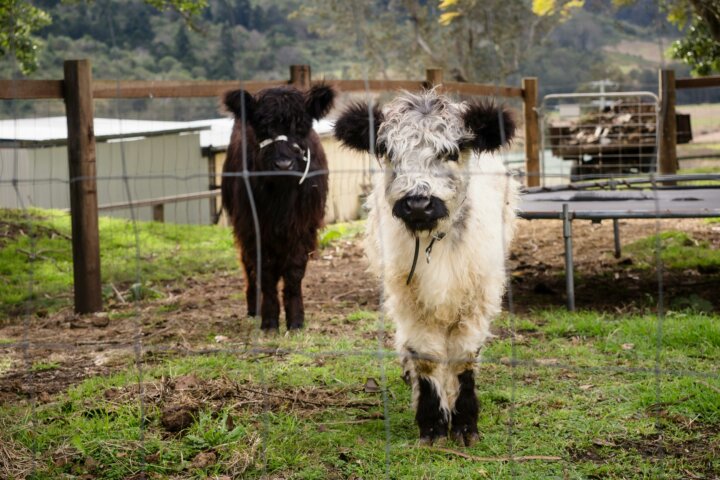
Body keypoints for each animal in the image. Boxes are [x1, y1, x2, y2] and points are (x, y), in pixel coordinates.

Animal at [221, 84, 335, 331]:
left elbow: (294, 272)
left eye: (301, 127)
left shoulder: (304, 228)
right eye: (262, 128)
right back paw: (253, 307)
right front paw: (270, 320)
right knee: (248, 266)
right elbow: (265, 271)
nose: (283, 164)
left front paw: (296, 320)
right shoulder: (253, 228)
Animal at [334, 89, 518, 445]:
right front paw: (432, 424)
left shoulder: (478, 295)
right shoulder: (408, 297)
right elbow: (425, 356)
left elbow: (463, 356)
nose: (418, 203)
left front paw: (465, 424)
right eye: (387, 151)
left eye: (452, 152)